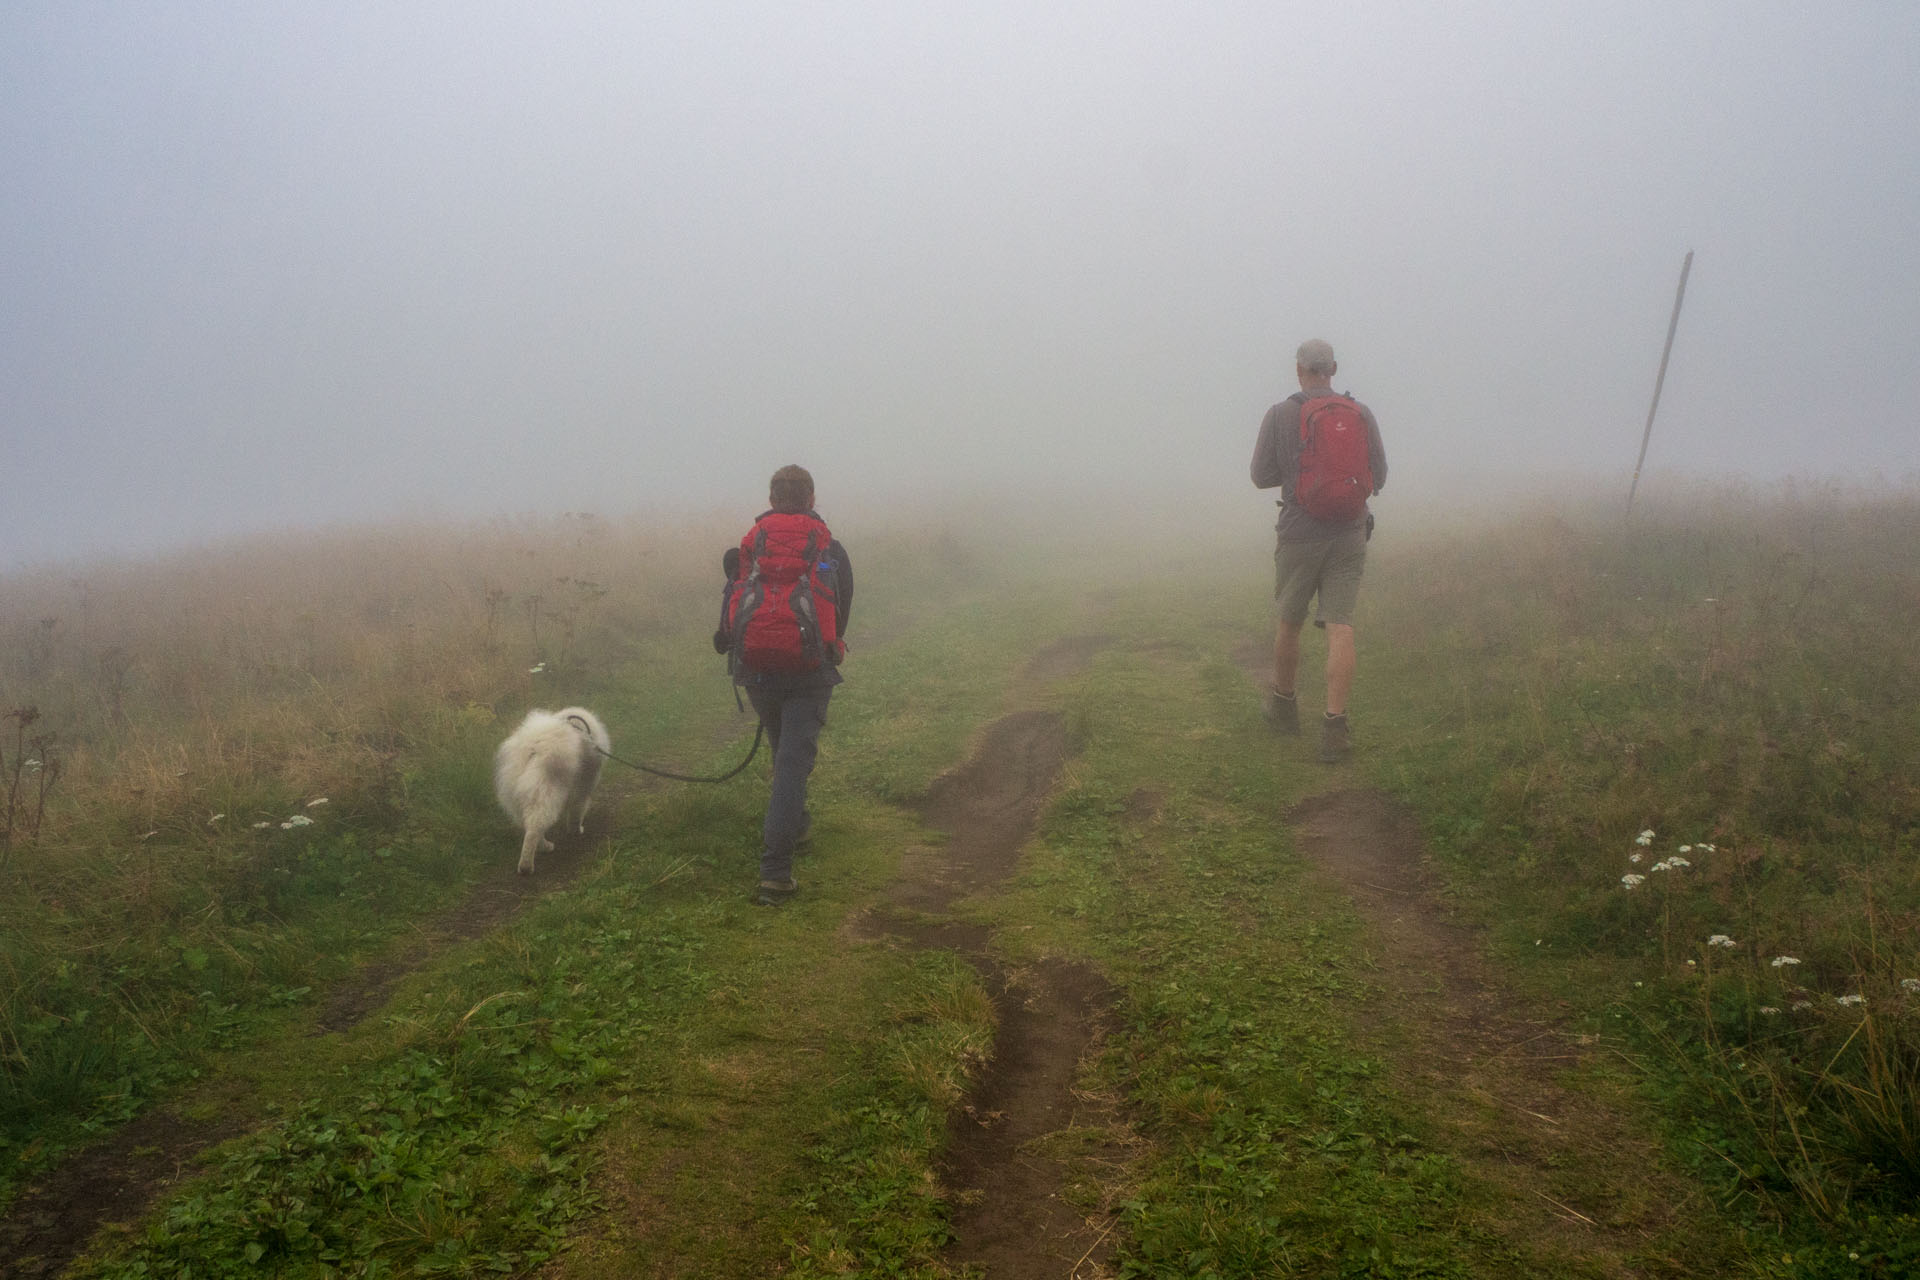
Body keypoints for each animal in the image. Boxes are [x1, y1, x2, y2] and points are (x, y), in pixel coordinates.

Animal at [491, 706, 610, 875]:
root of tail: (533, 746)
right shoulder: (583, 787)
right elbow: (577, 813)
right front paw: (577, 830)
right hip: (545, 793)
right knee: (533, 829)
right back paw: (527, 865)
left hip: (519, 797)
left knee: (529, 825)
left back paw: (544, 847)